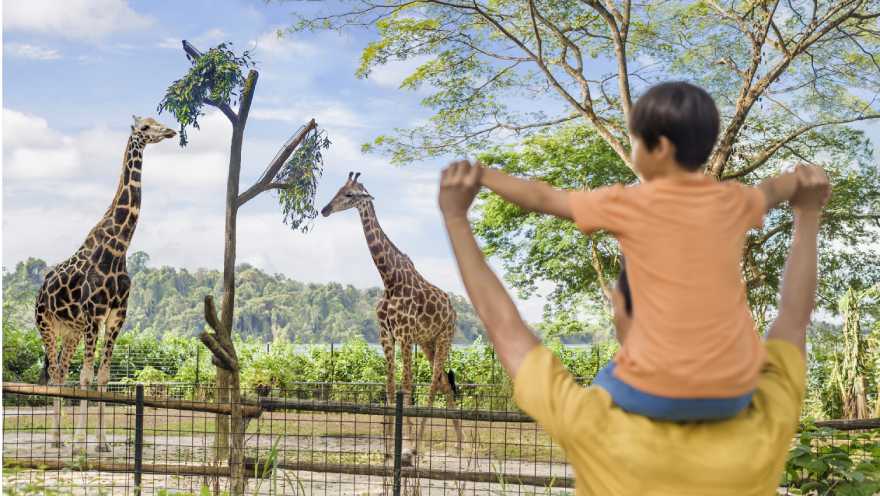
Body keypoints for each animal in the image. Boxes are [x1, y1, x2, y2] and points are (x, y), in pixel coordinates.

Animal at [35, 114, 176, 452]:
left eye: (157, 121)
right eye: (145, 127)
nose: (170, 131)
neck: (118, 249)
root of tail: (40, 291)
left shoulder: (115, 317)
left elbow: (102, 376)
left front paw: (100, 443)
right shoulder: (93, 315)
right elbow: (86, 377)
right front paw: (80, 442)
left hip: (70, 331)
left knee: (61, 370)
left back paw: (59, 438)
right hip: (46, 324)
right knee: (56, 372)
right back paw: (57, 439)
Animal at [320, 171, 464, 464]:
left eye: (350, 194)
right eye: (338, 189)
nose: (325, 209)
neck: (389, 279)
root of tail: (453, 310)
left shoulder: (405, 335)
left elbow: (406, 387)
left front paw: (406, 448)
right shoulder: (386, 335)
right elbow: (389, 387)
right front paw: (387, 450)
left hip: (445, 337)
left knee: (434, 383)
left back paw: (421, 445)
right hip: (428, 342)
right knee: (444, 382)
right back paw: (460, 444)